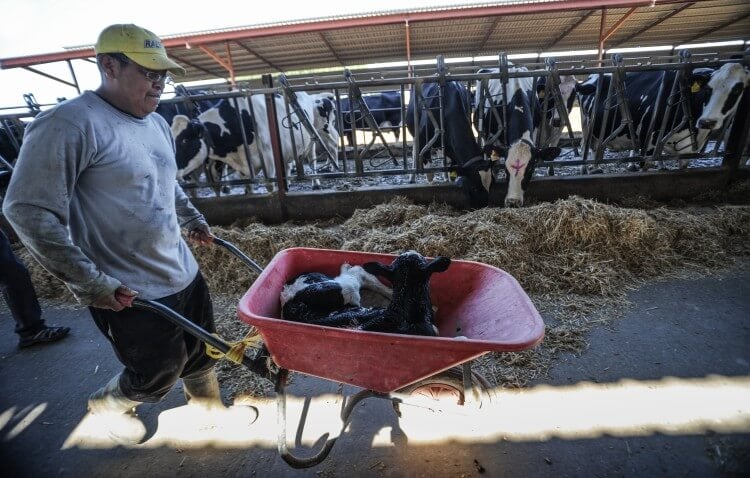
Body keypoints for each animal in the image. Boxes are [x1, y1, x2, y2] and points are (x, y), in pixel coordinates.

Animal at [172, 91, 340, 190]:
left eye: (184, 141)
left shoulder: (269, 163)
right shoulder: (243, 169)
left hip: (315, 135)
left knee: (315, 156)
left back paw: (317, 182)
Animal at [408, 80, 496, 209]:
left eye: (491, 184)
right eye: (474, 187)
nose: (483, 205)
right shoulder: (423, 138)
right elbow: (430, 173)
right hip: (413, 131)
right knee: (415, 150)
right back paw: (412, 177)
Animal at [580, 61, 748, 170]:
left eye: (737, 90)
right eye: (708, 89)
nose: (707, 122)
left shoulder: (689, 151)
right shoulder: (648, 141)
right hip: (587, 126)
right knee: (592, 148)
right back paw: (593, 169)